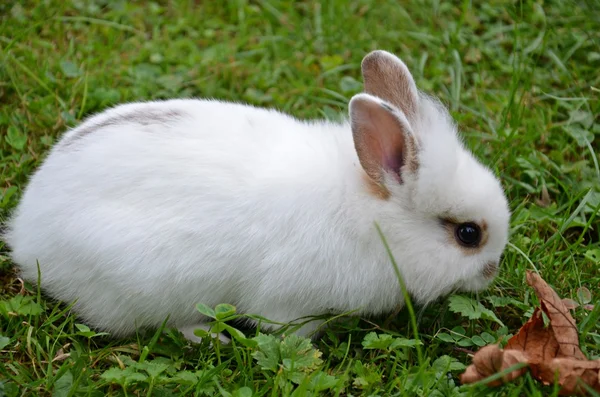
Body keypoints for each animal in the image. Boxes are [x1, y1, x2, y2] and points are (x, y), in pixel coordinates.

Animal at [4, 50, 510, 340]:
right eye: (468, 234)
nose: (492, 271)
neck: (369, 216)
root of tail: (25, 234)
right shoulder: (288, 302)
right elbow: (287, 332)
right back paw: (211, 336)